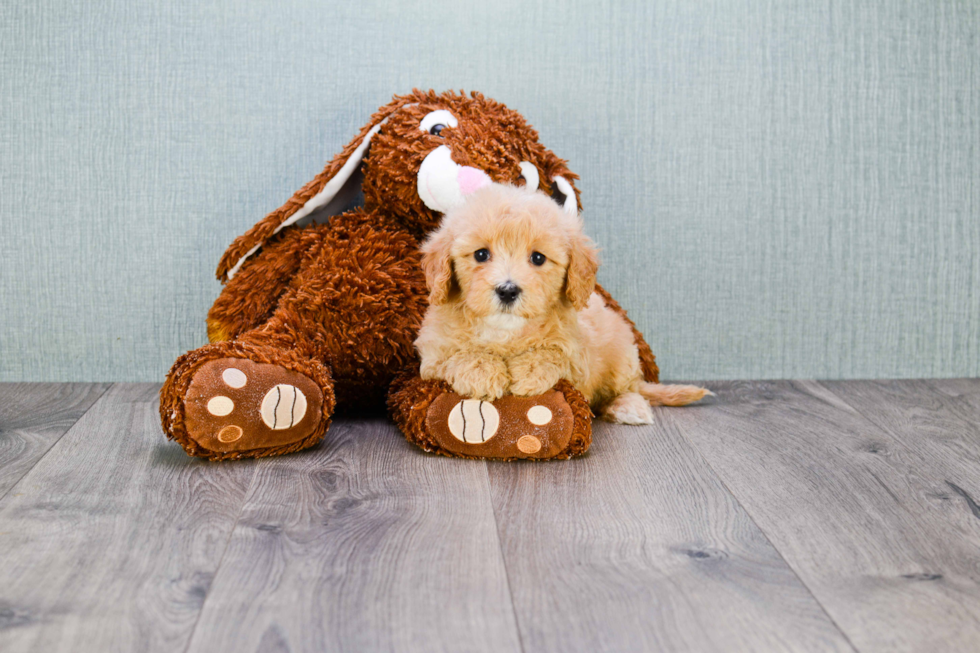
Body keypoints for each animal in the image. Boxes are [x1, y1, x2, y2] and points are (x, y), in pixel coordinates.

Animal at [416, 186, 712, 426]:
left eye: (538, 258)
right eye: (480, 254)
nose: (508, 290)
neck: (506, 330)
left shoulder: (579, 359)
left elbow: (554, 354)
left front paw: (529, 373)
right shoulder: (432, 353)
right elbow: (458, 355)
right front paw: (482, 372)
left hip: (621, 354)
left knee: (628, 388)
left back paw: (628, 407)